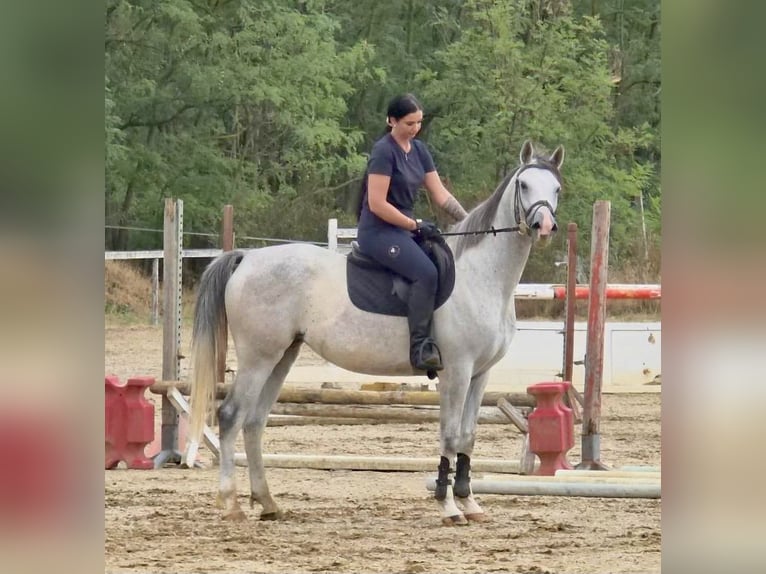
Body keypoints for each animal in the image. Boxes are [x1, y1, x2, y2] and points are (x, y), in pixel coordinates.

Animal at [188, 140, 565, 525]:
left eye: (556, 189)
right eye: (523, 185)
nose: (544, 224)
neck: (482, 276)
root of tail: (247, 258)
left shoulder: (481, 374)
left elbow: (468, 436)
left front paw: (469, 502)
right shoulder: (457, 372)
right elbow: (449, 435)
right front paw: (448, 506)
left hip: (283, 355)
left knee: (254, 421)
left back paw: (267, 502)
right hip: (258, 357)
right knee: (231, 416)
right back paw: (231, 503)